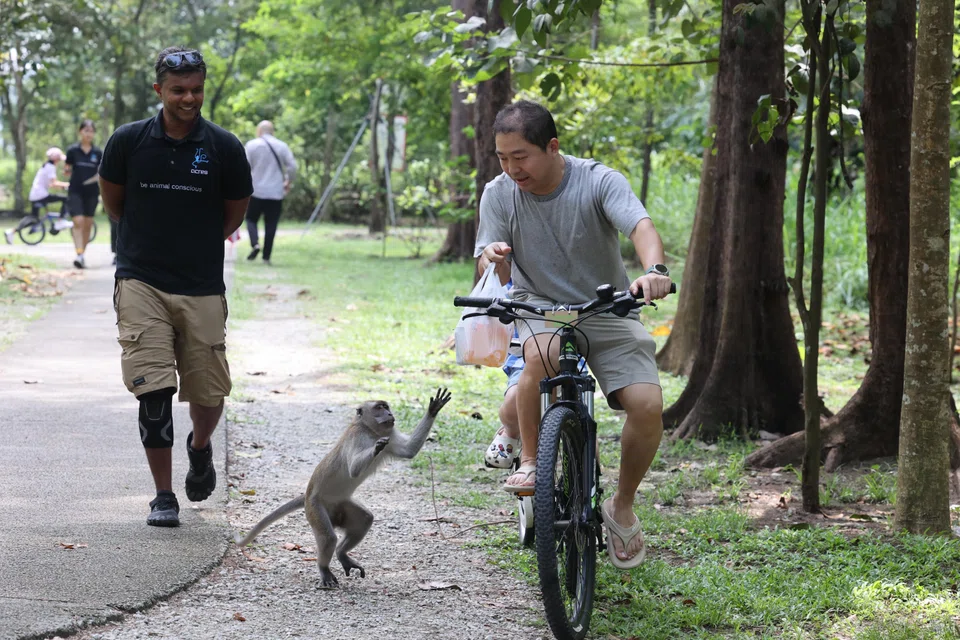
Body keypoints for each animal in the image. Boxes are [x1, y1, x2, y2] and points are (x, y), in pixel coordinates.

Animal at [236, 387, 452, 588]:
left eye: (386, 406)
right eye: (379, 408)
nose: (389, 414)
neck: (370, 430)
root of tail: (306, 495)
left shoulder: (390, 433)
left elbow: (409, 451)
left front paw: (434, 409)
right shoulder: (357, 436)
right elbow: (354, 469)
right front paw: (376, 447)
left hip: (341, 506)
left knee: (364, 519)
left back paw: (342, 553)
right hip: (314, 508)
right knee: (328, 537)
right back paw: (324, 567)